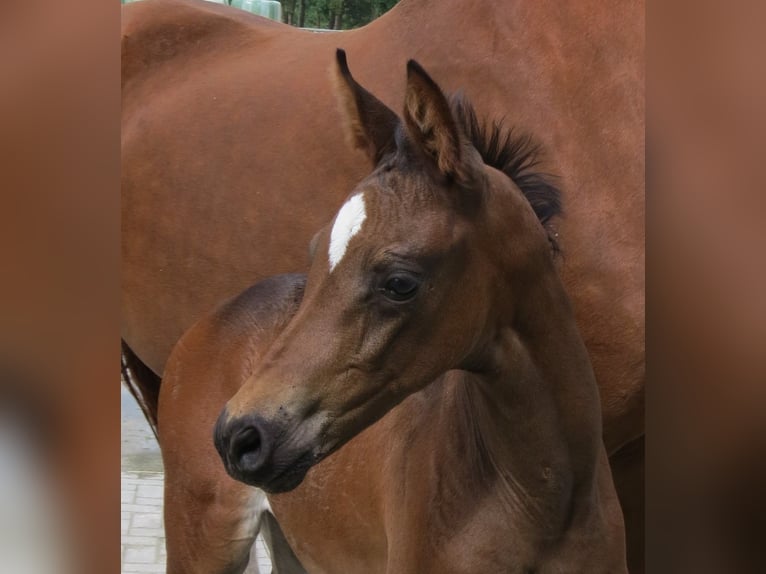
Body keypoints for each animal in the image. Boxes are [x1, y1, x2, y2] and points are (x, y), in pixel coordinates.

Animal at [123, 0, 644, 568]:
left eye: (399, 282)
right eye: (315, 253)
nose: (239, 435)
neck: (541, 498)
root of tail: (212, 318)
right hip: (204, 535)